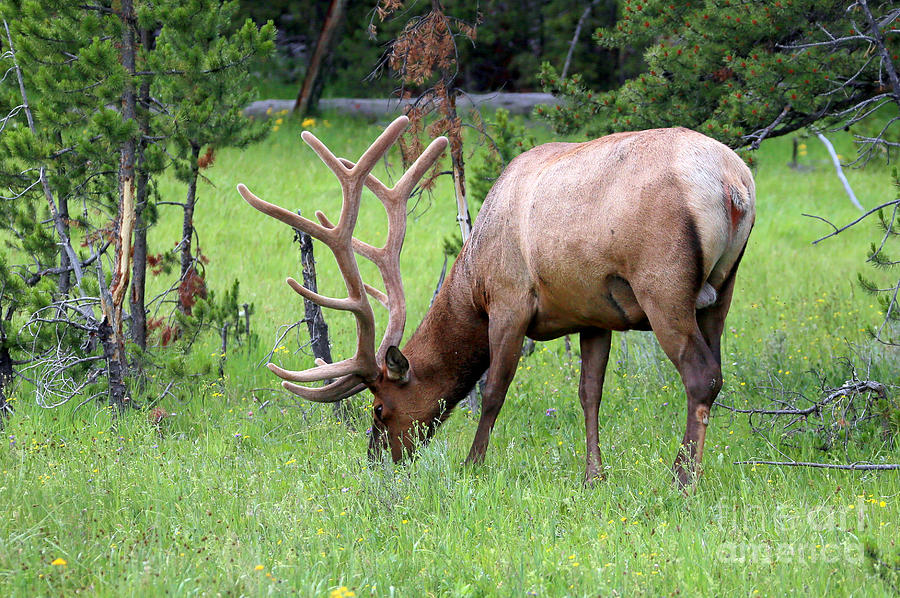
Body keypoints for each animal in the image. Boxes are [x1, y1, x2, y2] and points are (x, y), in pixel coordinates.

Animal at [237, 116, 752, 488]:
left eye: (379, 409)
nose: (376, 462)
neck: (473, 279)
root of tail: (734, 185)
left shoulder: (509, 300)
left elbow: (492, 391)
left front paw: (472, 466)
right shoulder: (592, 313)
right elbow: (589, 393)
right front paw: (593, 476)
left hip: (663, 283)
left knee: (701, 376)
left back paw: (682, 478)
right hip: (721, 291)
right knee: (717, 370)